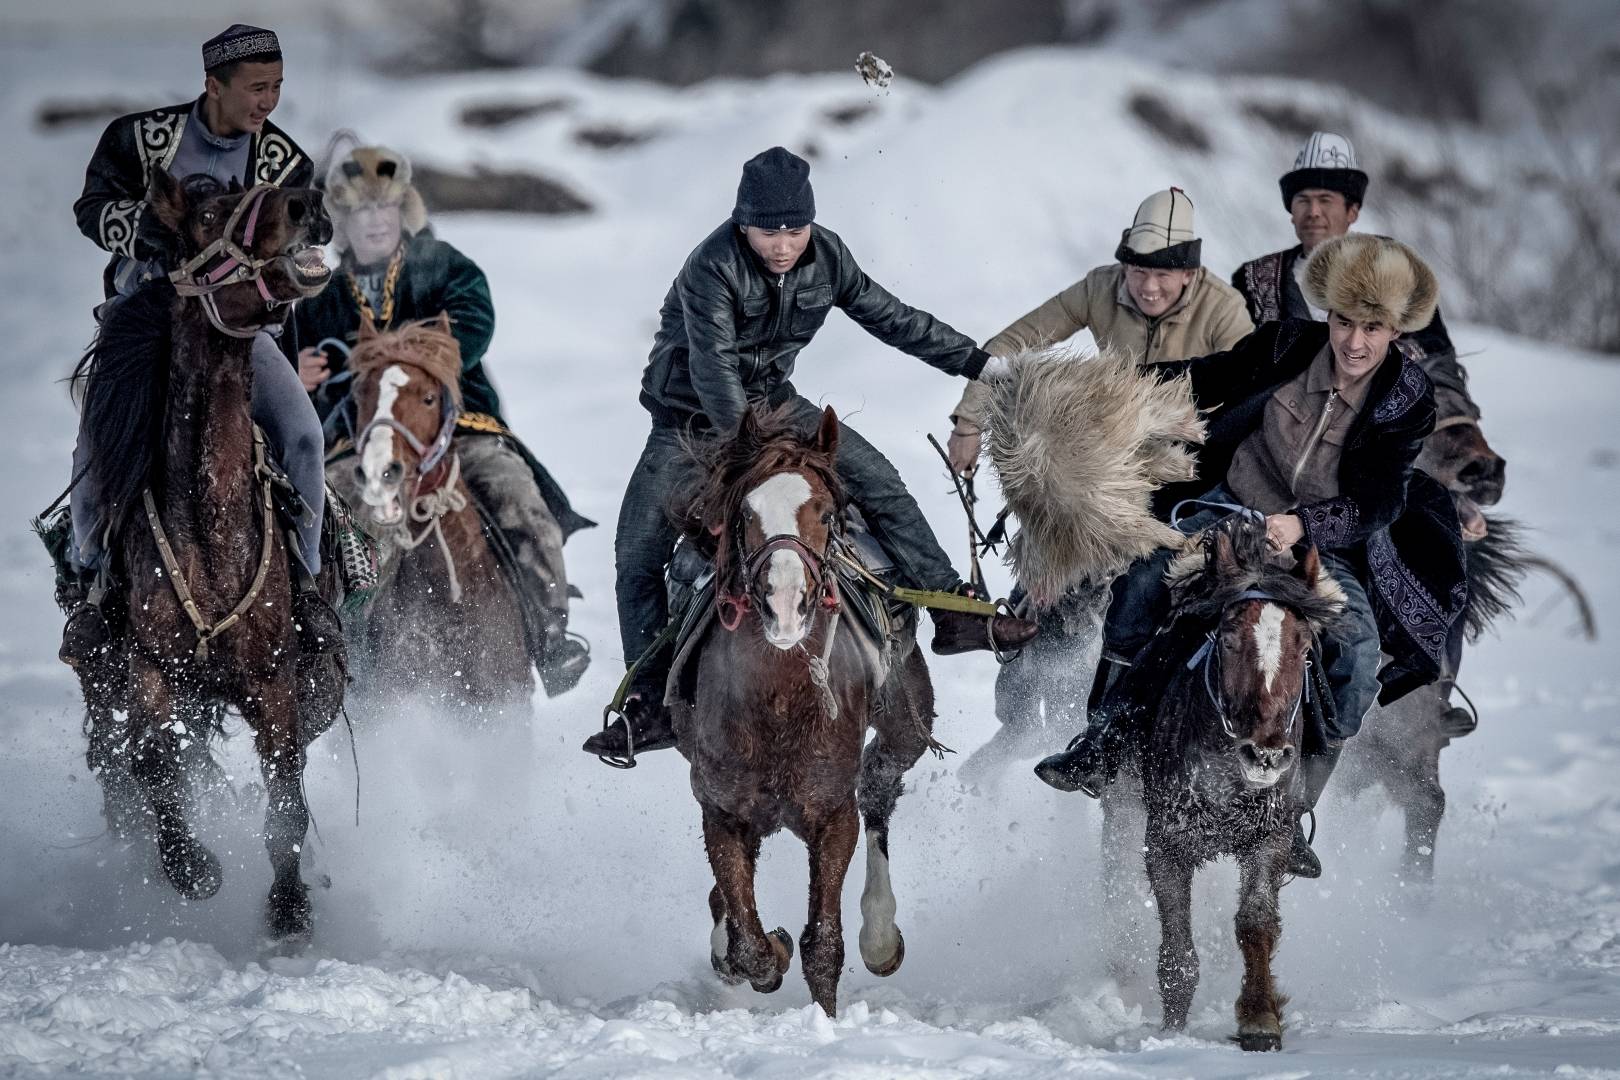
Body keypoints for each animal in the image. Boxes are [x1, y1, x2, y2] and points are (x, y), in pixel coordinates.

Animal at [69, 169, 341, 945]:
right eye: (212, 214)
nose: (309, 203)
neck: (213, 530)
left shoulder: (277, 681)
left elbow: (285, 800)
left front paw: (289, 910)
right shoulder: (148, 669)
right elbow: (156, 761)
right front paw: (192, 870)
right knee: (128, 770)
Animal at [667, 408, 939, 1023]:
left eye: (825, 512)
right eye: (745, 513)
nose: (785, 602)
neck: (780, 702)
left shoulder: (831, 815)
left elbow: (824, 944)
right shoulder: (722, 811)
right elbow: (748, 940)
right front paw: (767, 950)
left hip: (907, 724)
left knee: (880, 784)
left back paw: (880, 936)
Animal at [1108, 518, 1347, 1049]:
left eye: (1304, 647)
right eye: (1230, 639)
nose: (1267, 755)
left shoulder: (1270, 839)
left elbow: (1255, 921)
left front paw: (1259, 1019)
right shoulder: (1167, 843)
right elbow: (1176, 945)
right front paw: (1173, 1030)